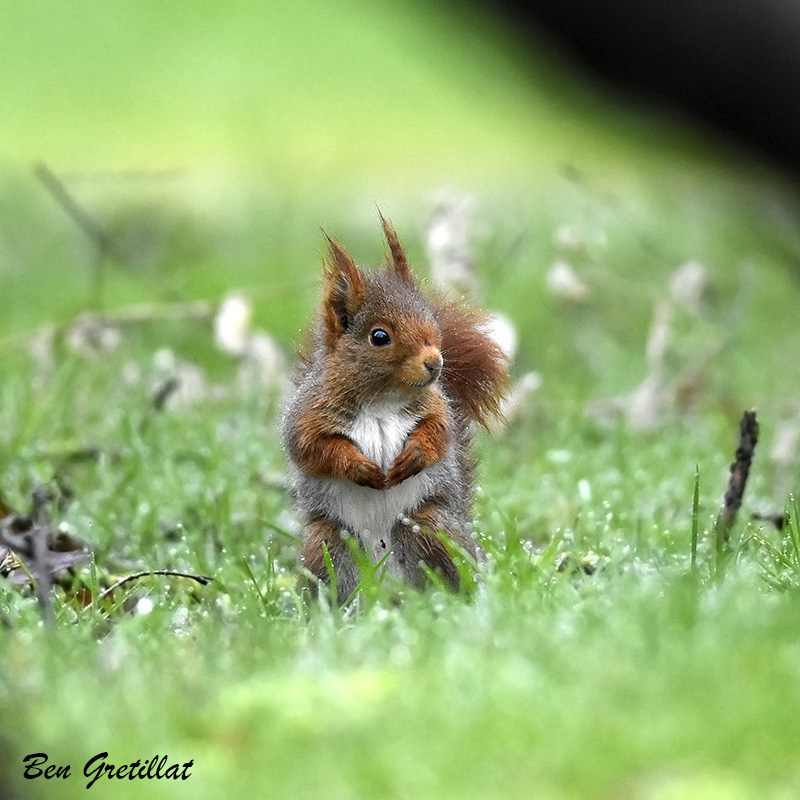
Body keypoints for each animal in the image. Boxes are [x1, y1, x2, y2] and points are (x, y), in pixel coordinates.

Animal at [282, 214, 506, 600]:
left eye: (432, 324)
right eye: (380, 337)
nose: (435, 363)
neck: (382, 399)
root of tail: (386, 589)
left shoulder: (437, 406)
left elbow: (439, 434)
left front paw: (414, 456)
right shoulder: (307, 414)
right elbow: (313, 448)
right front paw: (360, 468)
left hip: (429, 525)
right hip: (328, 542)